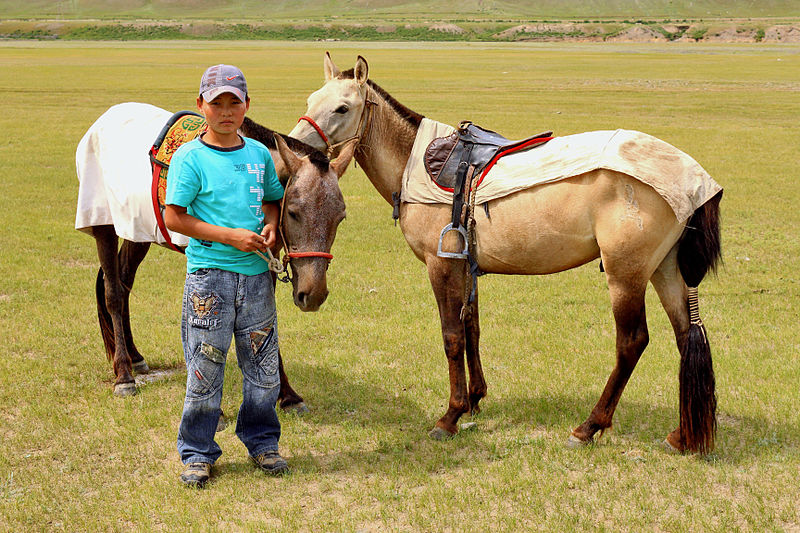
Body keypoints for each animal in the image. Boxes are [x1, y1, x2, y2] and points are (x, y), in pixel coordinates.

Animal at [76, 101, 352, 400]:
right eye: (293, 212)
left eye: (340, 217)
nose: (313, 296)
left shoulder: (266, 259)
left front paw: (287, 394)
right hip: (103, 226)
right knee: (113, 292)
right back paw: (124, 375)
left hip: (137, 233)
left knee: (124, 283)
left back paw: (136, 358)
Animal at [290, 54, 720, 454]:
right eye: (311, 99)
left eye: (342, 108)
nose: (295, 146)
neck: (414, 163)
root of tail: (694, 176)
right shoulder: (464, 266)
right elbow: (471, 328)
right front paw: (474, 399)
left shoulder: (440, 267)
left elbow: (451, 336)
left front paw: (450, 416)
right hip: (665, 269)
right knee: (687, 336)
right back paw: (681, 435)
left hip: (625, 275)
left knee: (632, 342)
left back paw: (588, 427)